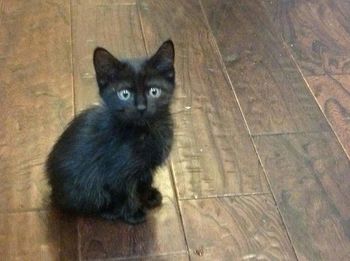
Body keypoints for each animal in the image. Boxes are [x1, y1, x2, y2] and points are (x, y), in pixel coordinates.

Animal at [46, 39, 176, 222]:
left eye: (154, 91)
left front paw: (148, 195)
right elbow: (125, 191)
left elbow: (145, 180)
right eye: (124, 94)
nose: (141, 108)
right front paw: (133, 214)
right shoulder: (117, 171)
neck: (145, 132)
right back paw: (110, 211)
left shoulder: (145, 168)